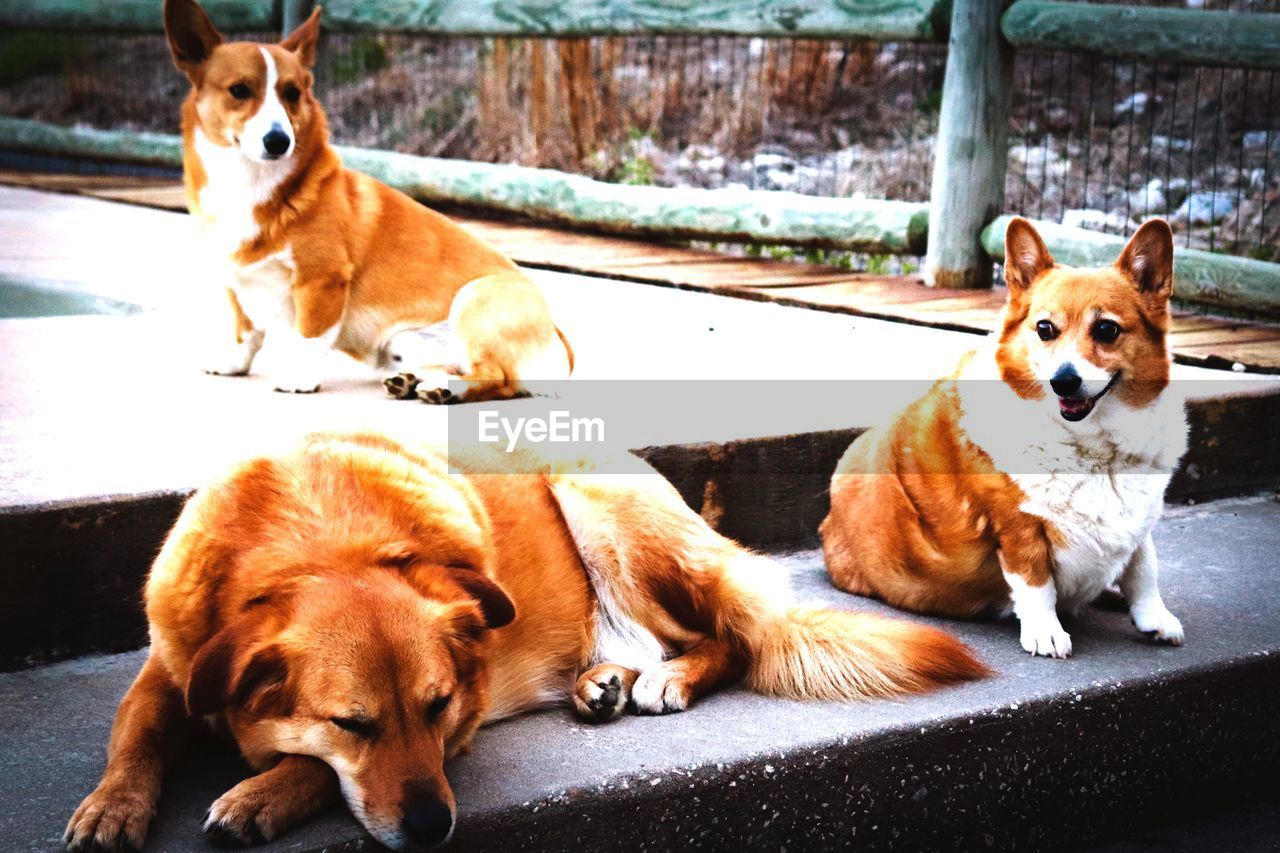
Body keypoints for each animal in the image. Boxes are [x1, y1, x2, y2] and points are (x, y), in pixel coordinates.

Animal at [64, 435, 988, 845]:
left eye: (437, 708)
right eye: (352, 723)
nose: (433, 825)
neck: (320, 541)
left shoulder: (461, 720)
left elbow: (311, 772)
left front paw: (264, 792)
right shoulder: (169, 669)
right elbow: (135, 734)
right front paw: (113, 804)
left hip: (609, 515)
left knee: (729, 636)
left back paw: (668, 679)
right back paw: (601, 681)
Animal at [163, 0, 570, 399]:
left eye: (292, 93)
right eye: (239, 90)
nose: (278, 141)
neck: (250, 182)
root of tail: (560, 346)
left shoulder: (322, 280)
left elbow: (309, 337)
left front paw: (300, 378)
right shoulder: (235, 278)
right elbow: (245, 329)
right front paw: (232, 363)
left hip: (474, 298)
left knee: (498, 378)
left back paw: (442, 390)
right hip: (409, 342)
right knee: (454, 366)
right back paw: (413, 381)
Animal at [819, 219, 1187, 655]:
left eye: (1106, 329)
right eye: (1044, 328)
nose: (1063, 381)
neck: (1096, 451)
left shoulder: (1138, 519)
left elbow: (1144, 567)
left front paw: (1156, 619)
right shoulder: (1018, 528)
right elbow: (1035, 583)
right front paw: (1046, 633)